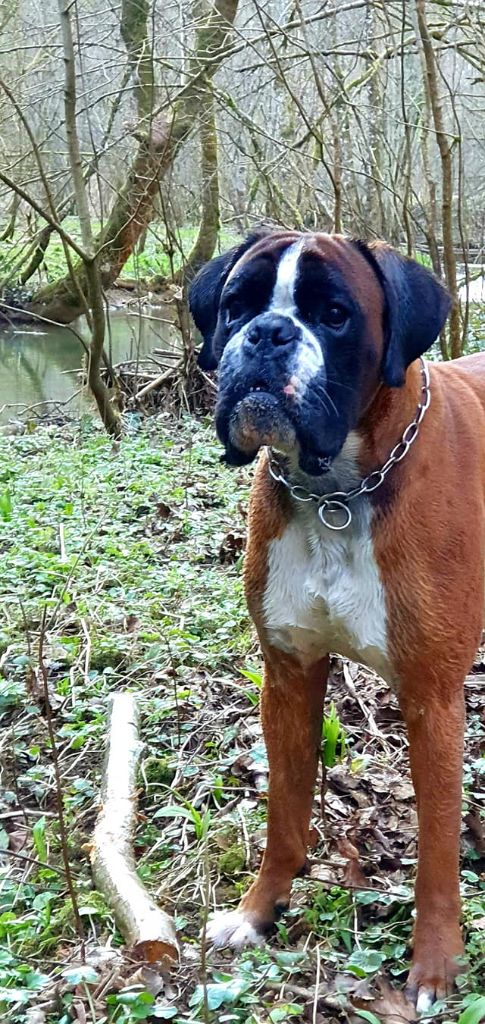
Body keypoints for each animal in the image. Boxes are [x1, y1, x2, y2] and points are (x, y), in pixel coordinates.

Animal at [189, 229, 482, 1012]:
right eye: (237, 304)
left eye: (334, 314)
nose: (268, 334)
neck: (338, 491)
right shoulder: (288, 676)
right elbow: (285, 816)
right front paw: (257, 912)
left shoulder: (432, 701)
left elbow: (435, 850)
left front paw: (434, 967)